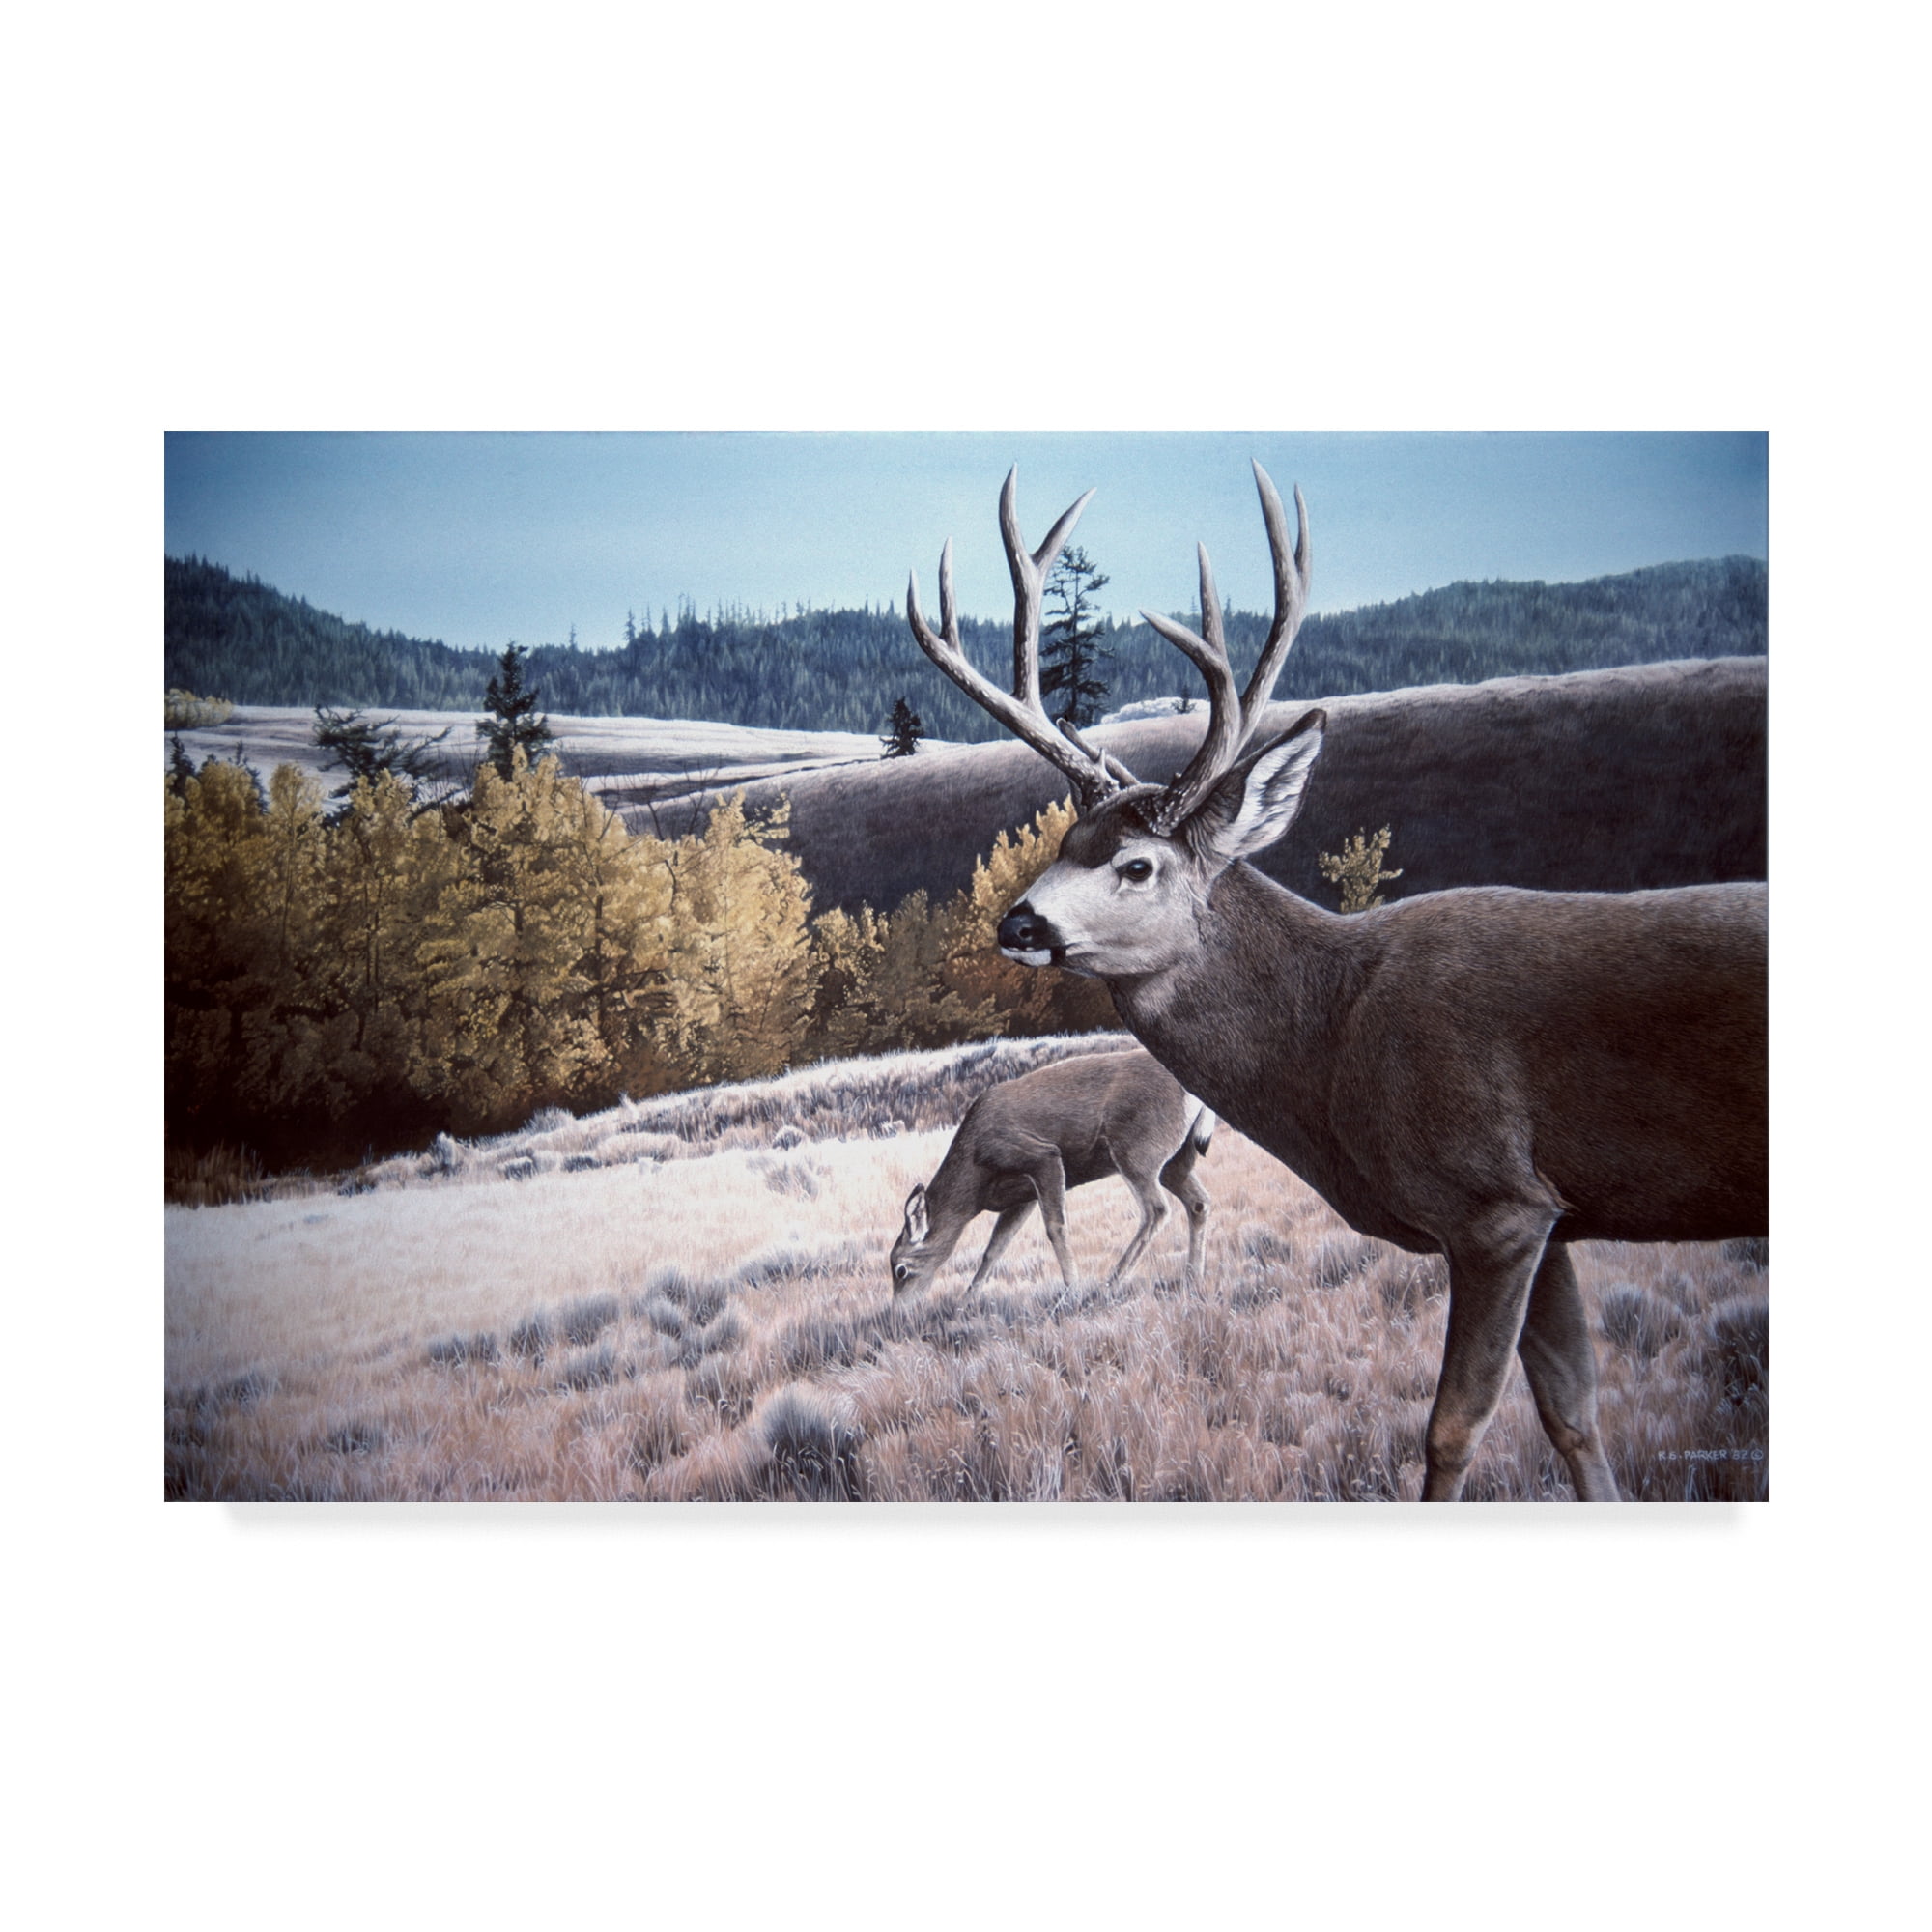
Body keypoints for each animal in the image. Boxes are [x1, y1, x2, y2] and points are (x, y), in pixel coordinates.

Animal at [889, 1049, 1215, 1297]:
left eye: (901, 1269)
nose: (900, 1312)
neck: (975, 1178)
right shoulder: (1023, 1196)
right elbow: (995, 1246)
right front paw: (965, 1302)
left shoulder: (1042, 1156)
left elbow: (1055, 1227)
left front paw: (1072, 1291)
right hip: (1174, 1160)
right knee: (1199, 1202)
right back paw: (1192, 1279)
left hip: (1136, 1151)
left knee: (1156, 1209)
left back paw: (1110, 1284)